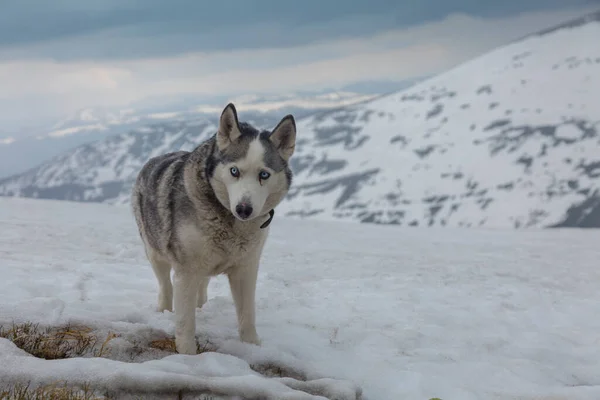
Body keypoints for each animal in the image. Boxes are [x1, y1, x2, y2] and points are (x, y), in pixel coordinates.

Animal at [134, 103, 298, 354]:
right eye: (234, 171)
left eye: (264, 174)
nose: (243, 209)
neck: (228, 221)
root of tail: (152, 159)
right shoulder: (186, 270)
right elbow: (185, 322)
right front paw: (187, 355)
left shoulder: (246, 267)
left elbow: (247, 315)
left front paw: (252, 347)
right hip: (155, 251)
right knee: (165, 286)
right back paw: (164, 310)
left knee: (202, 286)